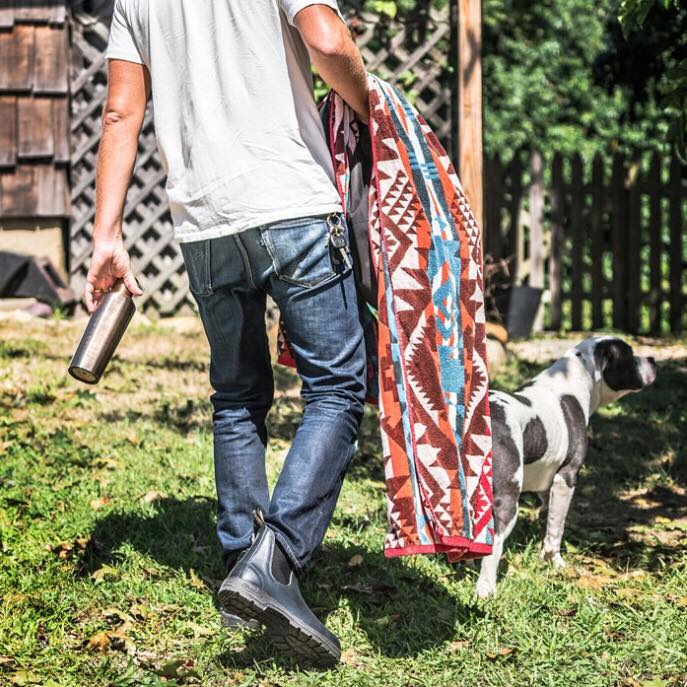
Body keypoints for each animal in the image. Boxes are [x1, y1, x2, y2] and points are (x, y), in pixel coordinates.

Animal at [476, 338, 660, 596]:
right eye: (630, 355)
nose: (653, 360)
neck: (573, 382)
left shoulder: (547, 484)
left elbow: (547, 516)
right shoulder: (567, 477)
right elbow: (557, 527)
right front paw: (554, 562)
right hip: (507, 501)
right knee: (495, 545)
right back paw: (486, 590)